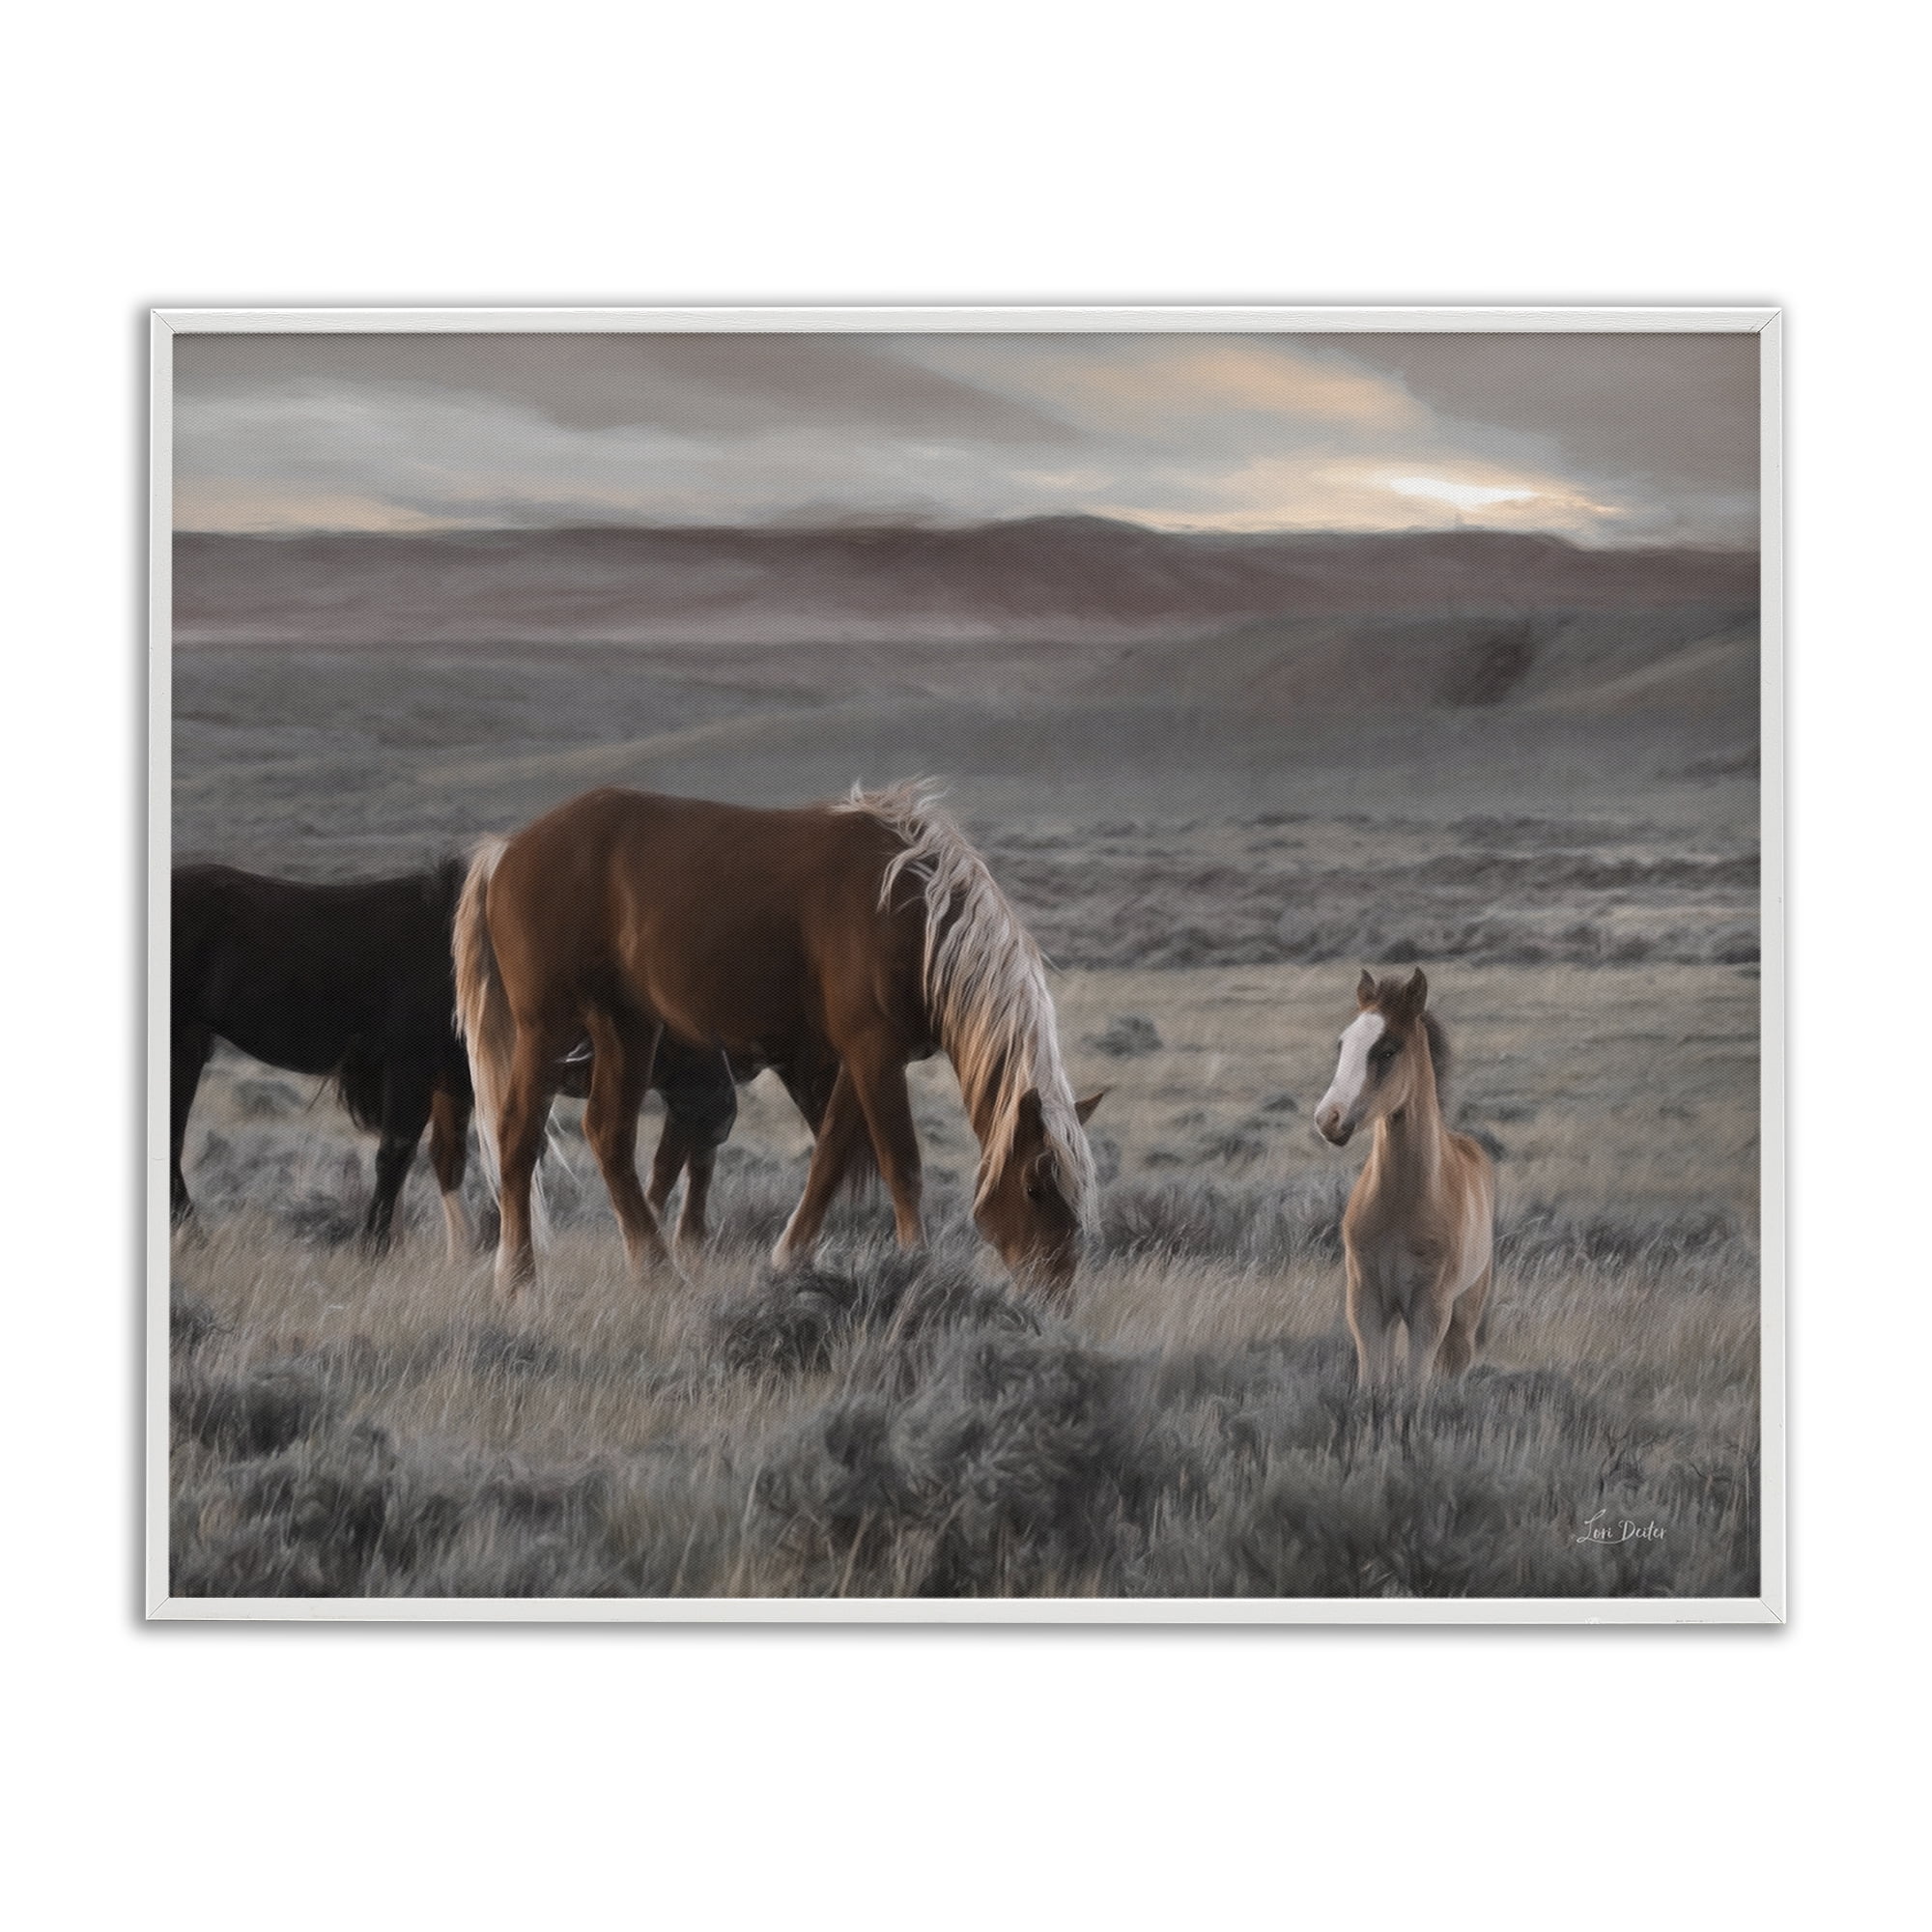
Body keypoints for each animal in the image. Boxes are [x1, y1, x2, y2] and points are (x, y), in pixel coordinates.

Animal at [171, 861, 742, 1260]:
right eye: (669, 1024)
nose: (724, 1111)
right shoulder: (411, 1067)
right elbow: (397, 1153)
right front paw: (377, 1244)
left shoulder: (454, 1080)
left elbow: (452, 1159)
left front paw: (466, 1248)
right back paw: (191, 1235)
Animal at [454, 781, 1103, 1299]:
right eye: (1035, 1187)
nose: (1056, 1294)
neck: (914, 915)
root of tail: (508, 850)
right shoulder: (874, 1053)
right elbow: (901, 1163)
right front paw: (916, 1264)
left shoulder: (860, 1058)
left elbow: (832, 1157)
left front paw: (790, 1259)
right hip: (546, 1029)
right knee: (518, 1137)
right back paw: (518, 1277)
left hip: (629, 1026)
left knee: (608, 1137)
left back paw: (657, 1270)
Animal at [1314, 968, 1496, 1386]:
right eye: (1342, 1044)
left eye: (1387, 1050)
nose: (1328, 1118)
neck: (1402, 1203)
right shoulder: (1366, 1301)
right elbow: (1372, 1382)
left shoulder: (1430, 1310)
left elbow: (1415, 1387)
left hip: (1466, 1309)